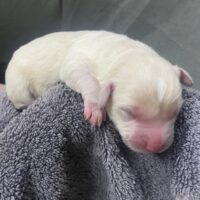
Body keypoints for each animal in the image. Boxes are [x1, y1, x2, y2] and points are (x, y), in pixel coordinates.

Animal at [5, 30, 192, 153]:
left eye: (175, 112)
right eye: (127, 112)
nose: (155, 147)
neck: (124, 52)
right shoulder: (75, 64)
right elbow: (89, 81)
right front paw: (96, 108)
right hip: (19, 86)